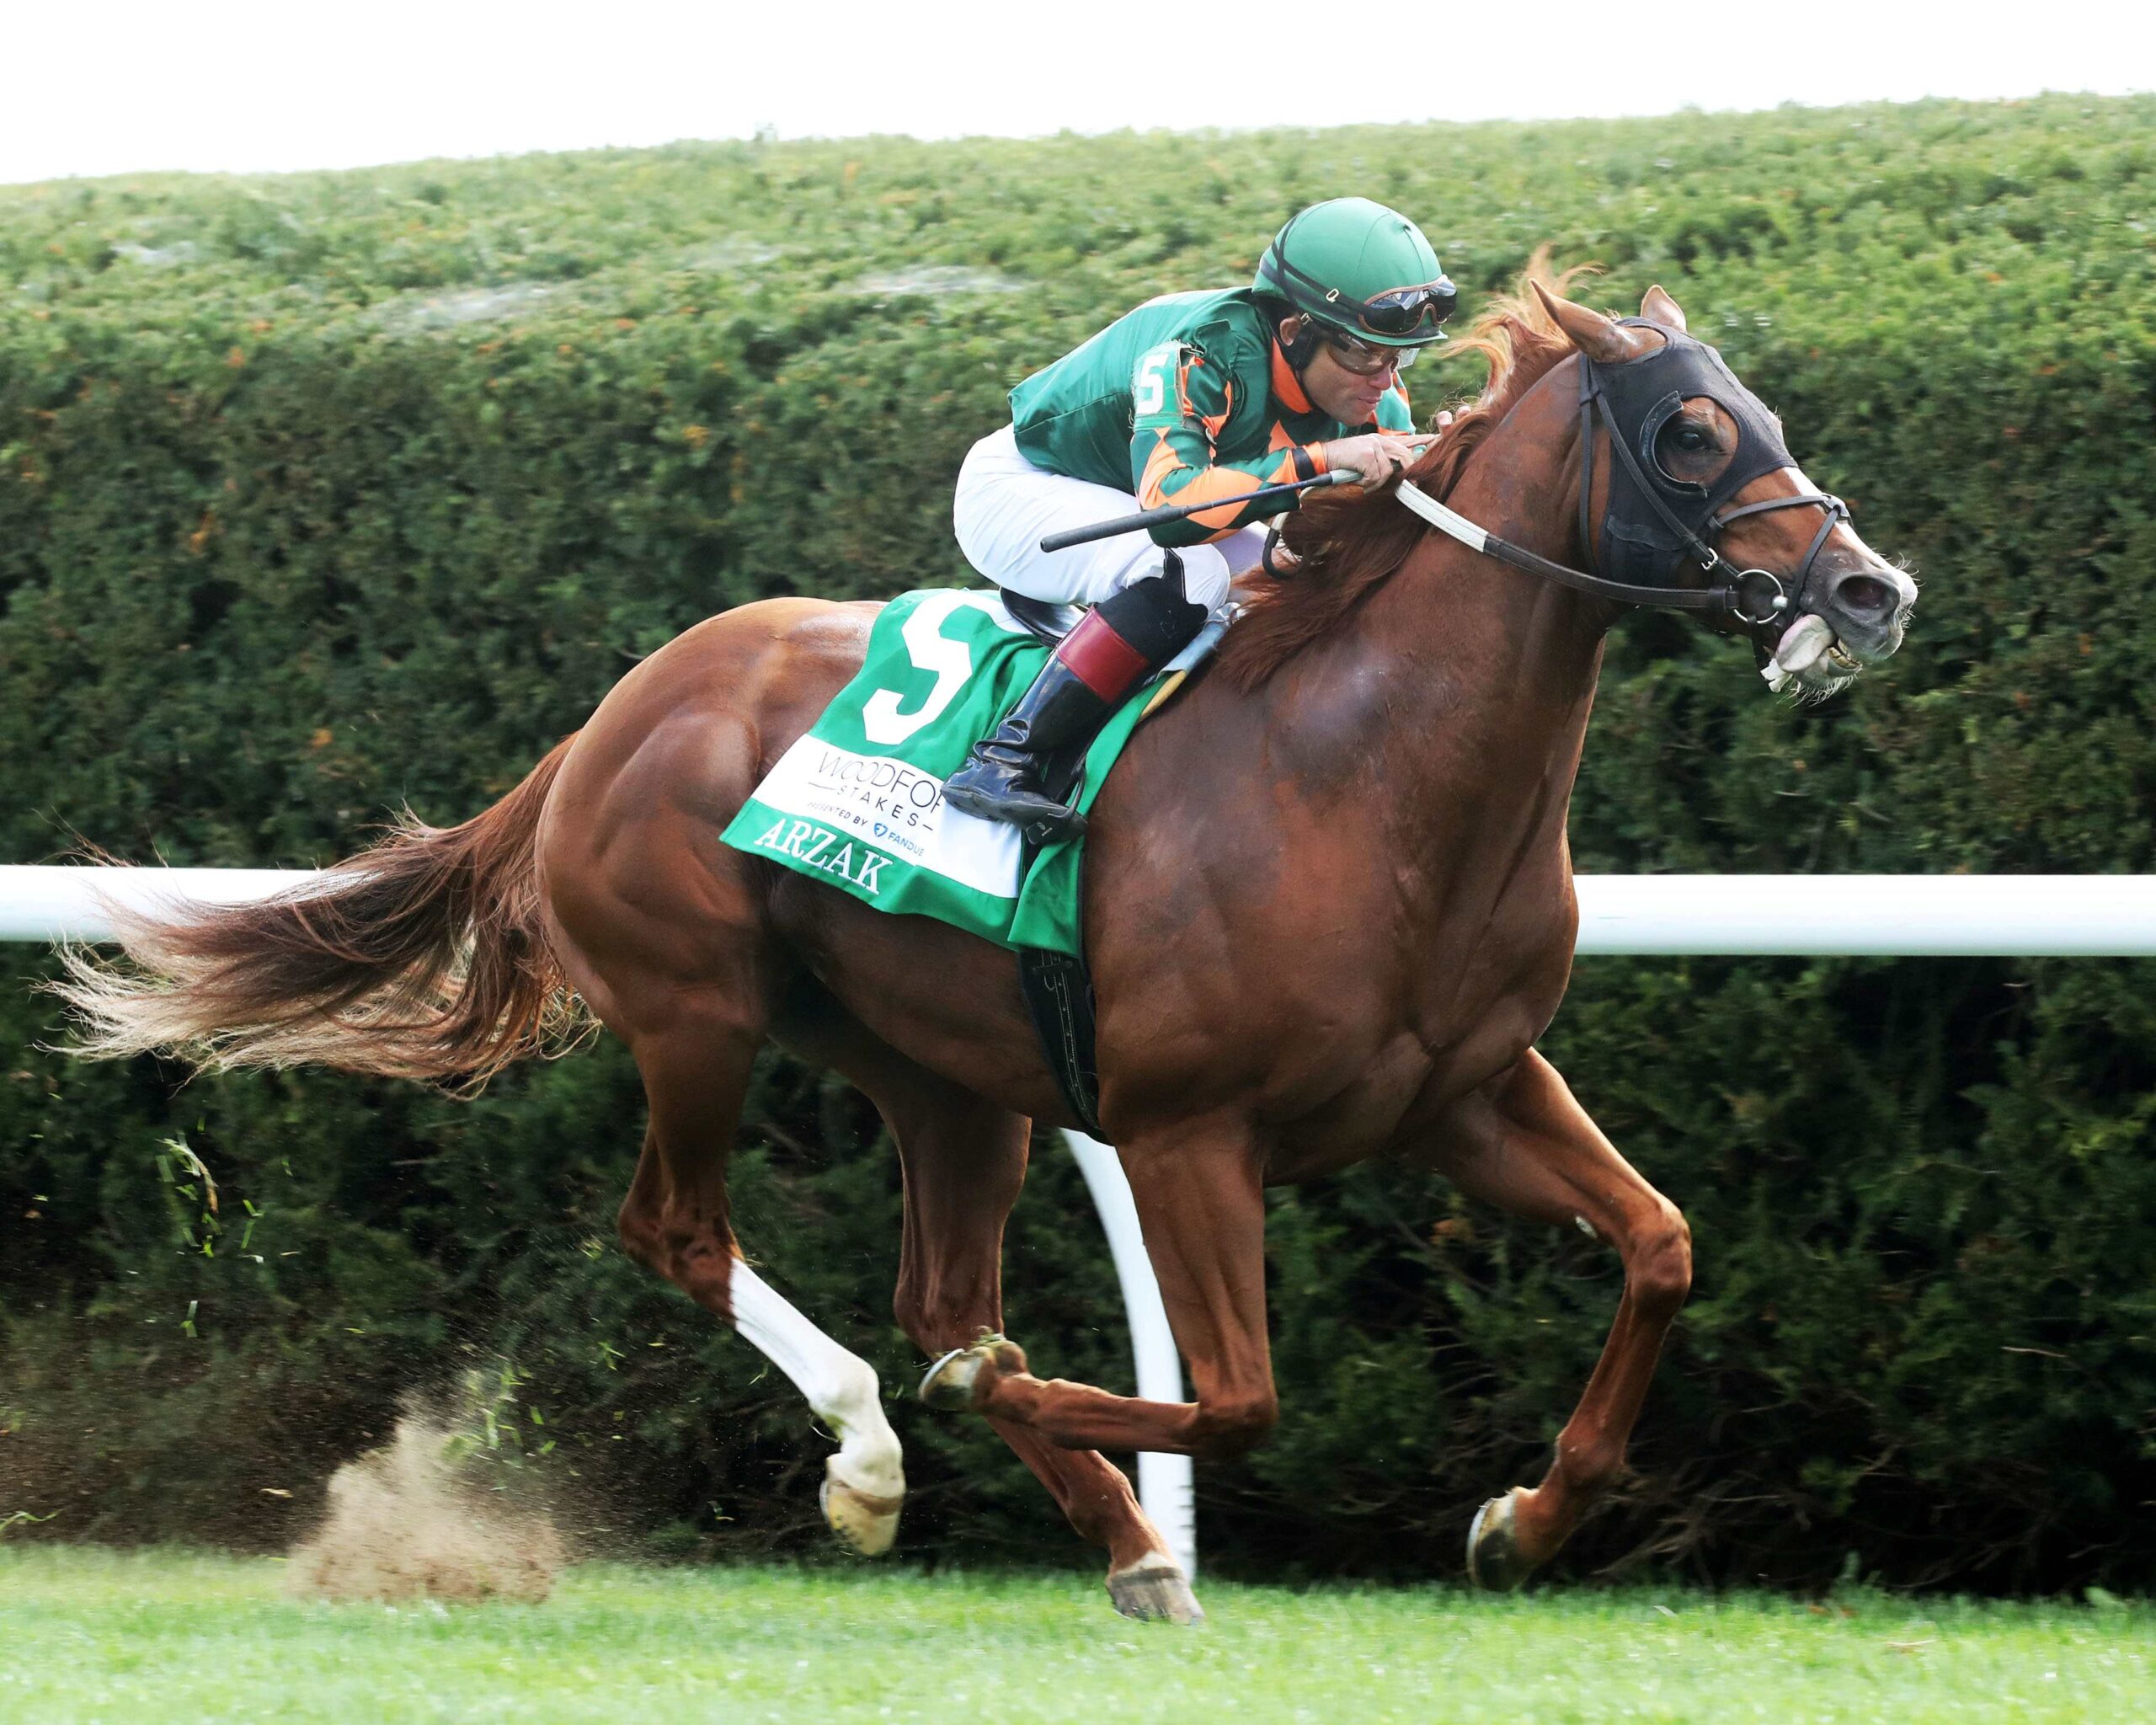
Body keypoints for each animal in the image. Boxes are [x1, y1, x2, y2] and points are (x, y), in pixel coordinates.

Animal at [56, 262, 1916, 1625]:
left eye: (1758, 411)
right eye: (1690, 435)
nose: (1867, 592)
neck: (1365, 772)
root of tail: (610, 713)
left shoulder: (1464, 1088)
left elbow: (1660, 1246)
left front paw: (1525, 1516)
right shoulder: (1181, 1130)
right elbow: (1229, 1396)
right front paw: (967, 1411)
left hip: (952, 1075)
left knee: (937, 1284)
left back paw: (1118, 1536)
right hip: (694, 1012)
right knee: (686, 1232)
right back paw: (881, 1451)